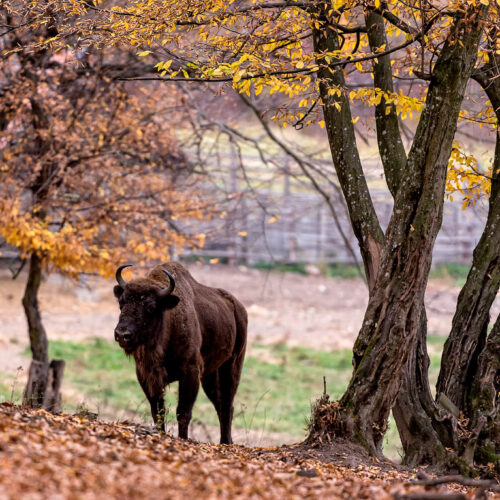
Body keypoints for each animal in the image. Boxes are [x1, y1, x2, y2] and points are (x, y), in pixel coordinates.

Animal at [112, 264, 247, 444]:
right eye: (121, 303)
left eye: (150, 307)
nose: (122, 334)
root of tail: (239, 307)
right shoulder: (146, 375)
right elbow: (157, 410)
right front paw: (160, 434)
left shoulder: (190, 372)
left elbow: (183, 412)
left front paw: (183, 439)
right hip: (210, 375)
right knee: (219, 404)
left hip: (232, 365)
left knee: (227, 404)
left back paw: (225, 442)